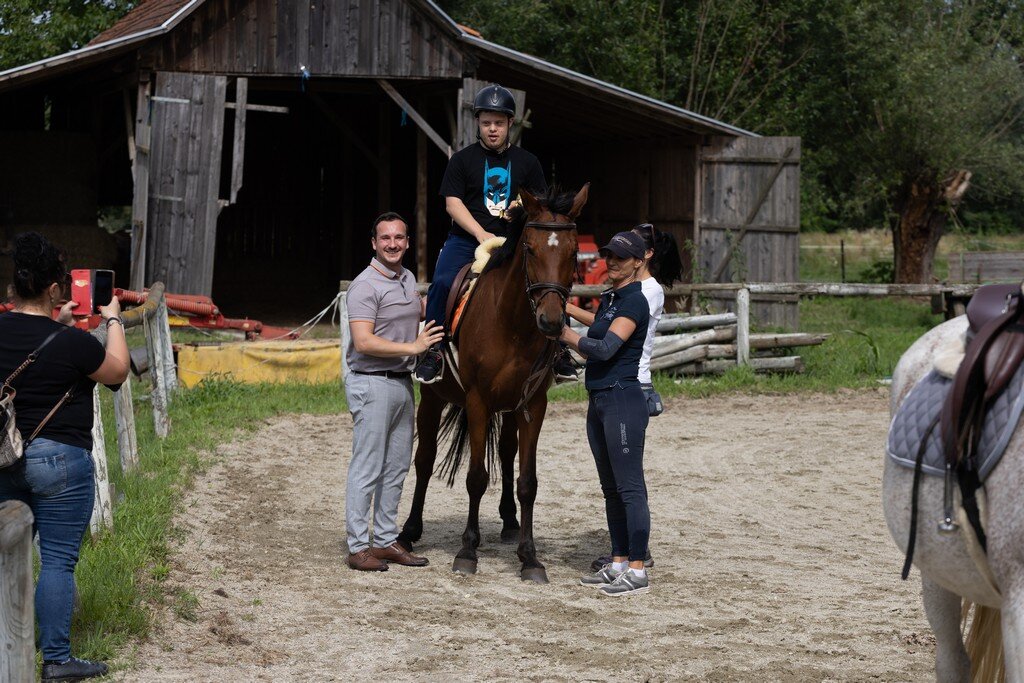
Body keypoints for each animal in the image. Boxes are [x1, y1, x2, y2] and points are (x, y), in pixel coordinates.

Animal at [395, 185, 589, 581]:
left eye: (573, 250)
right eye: (529, 248)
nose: (551, 320)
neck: (512, 324)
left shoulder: (533, 404)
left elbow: (527, 482)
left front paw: (529, 557)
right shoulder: (478, 401)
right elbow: (475, 478)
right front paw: (467, 551)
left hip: (511, 408)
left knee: (506, 452)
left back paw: (510, 523)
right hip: (433, 398)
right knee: (424, 460)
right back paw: (409, 531)